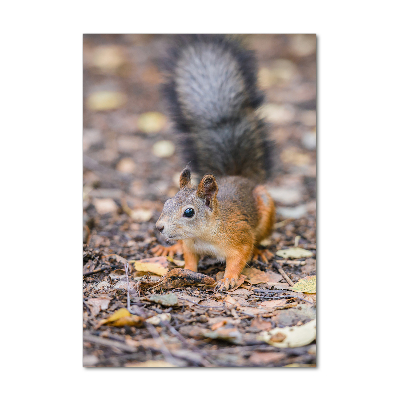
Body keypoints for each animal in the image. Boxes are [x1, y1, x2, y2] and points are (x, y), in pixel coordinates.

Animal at [152, 34, 276, 290]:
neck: (204, 234)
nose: (159, 227)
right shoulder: (191, 245)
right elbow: (190, 258)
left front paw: (228, 279)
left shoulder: (239, 236)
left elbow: (239, 258)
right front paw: (187, 271)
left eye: (189, 212)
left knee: (260, 238)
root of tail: (238, 176)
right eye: (167, 202)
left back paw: (261, 251)